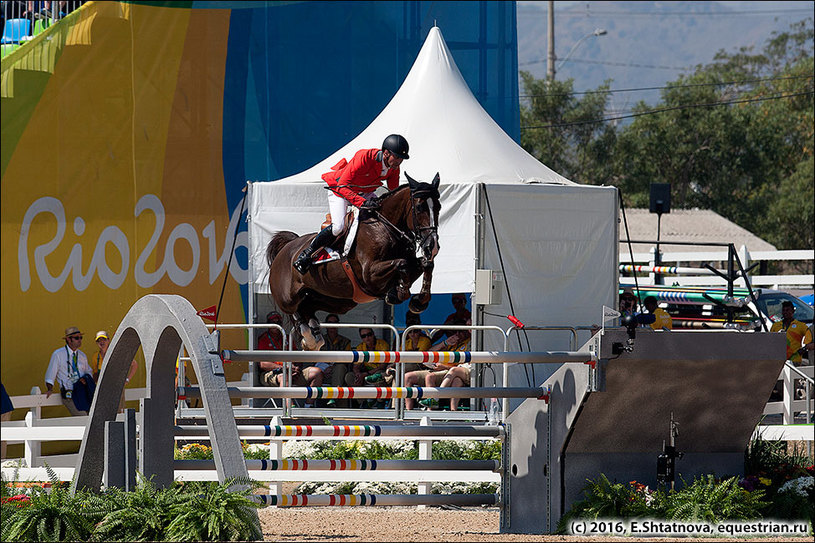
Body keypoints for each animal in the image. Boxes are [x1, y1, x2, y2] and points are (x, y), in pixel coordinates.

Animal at [268, 175, 440, 352]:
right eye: (419, 208)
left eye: (439, 207)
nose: (432, 246)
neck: (385, 228)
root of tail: (286, 248)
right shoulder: (370, 275)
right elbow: (402, 264)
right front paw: (399, 293)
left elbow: (426, 264)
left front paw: (417, 302)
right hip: (288, 298)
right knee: (296, 311)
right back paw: (308, 338)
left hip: (338, 300)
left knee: (308, 308)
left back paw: (314, 339)